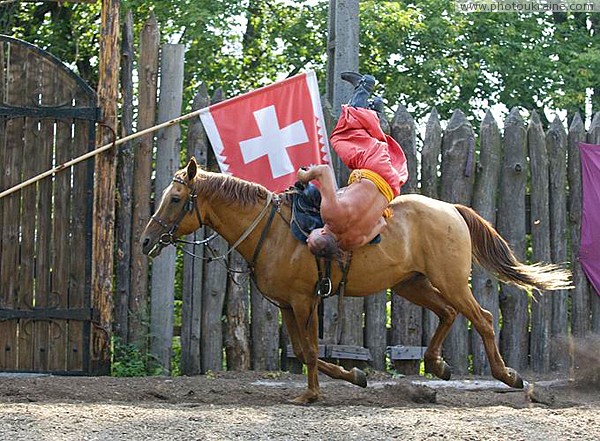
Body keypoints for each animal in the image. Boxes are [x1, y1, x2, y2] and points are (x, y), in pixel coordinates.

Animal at [141, 156, 572, 404]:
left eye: (175, 199)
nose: (146, 240)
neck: (271, 230)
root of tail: (450, 208)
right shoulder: (287, 306)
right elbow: (304, 352)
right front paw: (354, 376)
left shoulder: (305, 301)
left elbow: (310, 350)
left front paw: (311, 395)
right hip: (411, 283)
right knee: (449, 314)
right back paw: (437, 365)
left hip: (449, 280)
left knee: (480, 317)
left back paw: (507, 375)